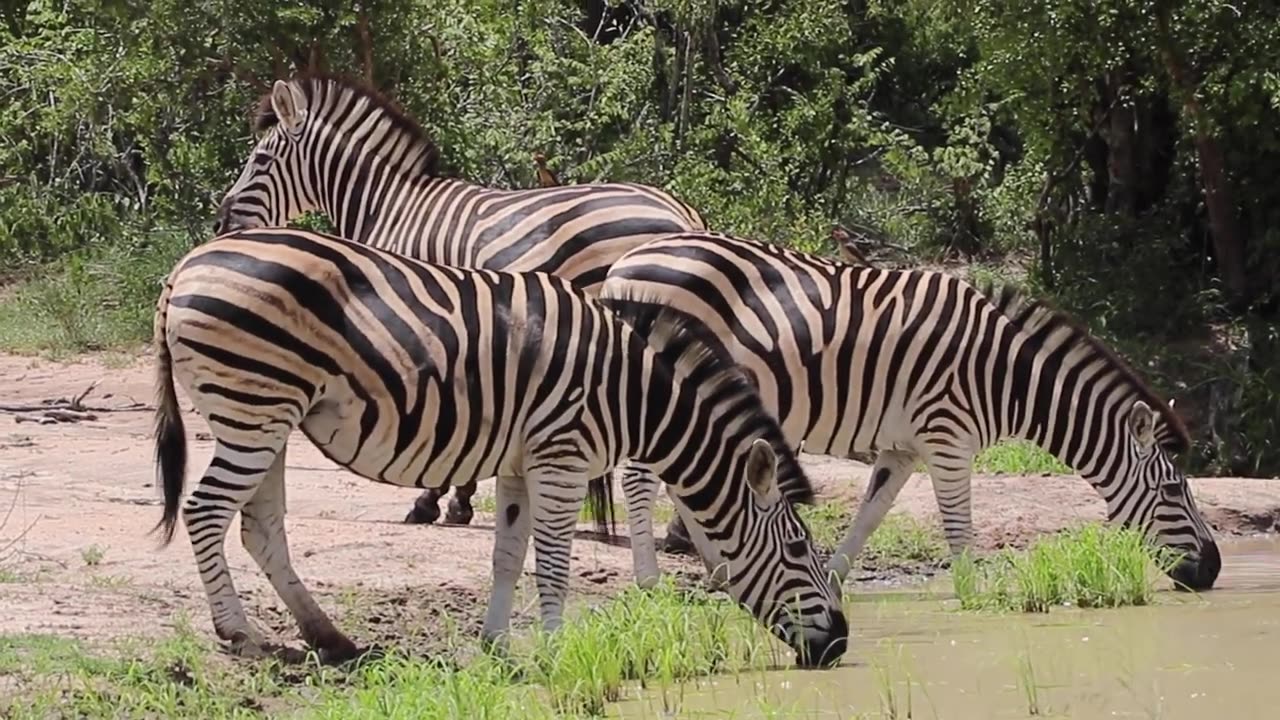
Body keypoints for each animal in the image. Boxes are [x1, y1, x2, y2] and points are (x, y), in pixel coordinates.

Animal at [147, 226, 849, 666]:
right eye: (798, 548)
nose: (842, 644)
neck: (630, 393)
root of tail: (187, 264)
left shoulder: (519, 464)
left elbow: (508, 558)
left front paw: (495, 644)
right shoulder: (562, 457)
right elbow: (556, 564)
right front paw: (559, 648)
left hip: (269, 417)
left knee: (260, 526)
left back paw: (331, 639)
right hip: (252, 408)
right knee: (206, 511)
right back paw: (238, 633)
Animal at [213, 71, 706, 527]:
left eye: (260, 159)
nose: (221, 222)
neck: (388, 205)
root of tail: (682, 213)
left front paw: (431, 499)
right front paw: (457, 499)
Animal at [593, 229, 1223, 589]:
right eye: (1175, 491)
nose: (1215, 570)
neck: (1007, 375)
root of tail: (627, 261)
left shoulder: (903, 448)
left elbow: (870, 514)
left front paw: (834, 579)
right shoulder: (948, 436)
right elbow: (959, 528)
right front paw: (975, 595)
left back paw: (720, 569)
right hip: (660, 389)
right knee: (640, 480)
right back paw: (649, 581)